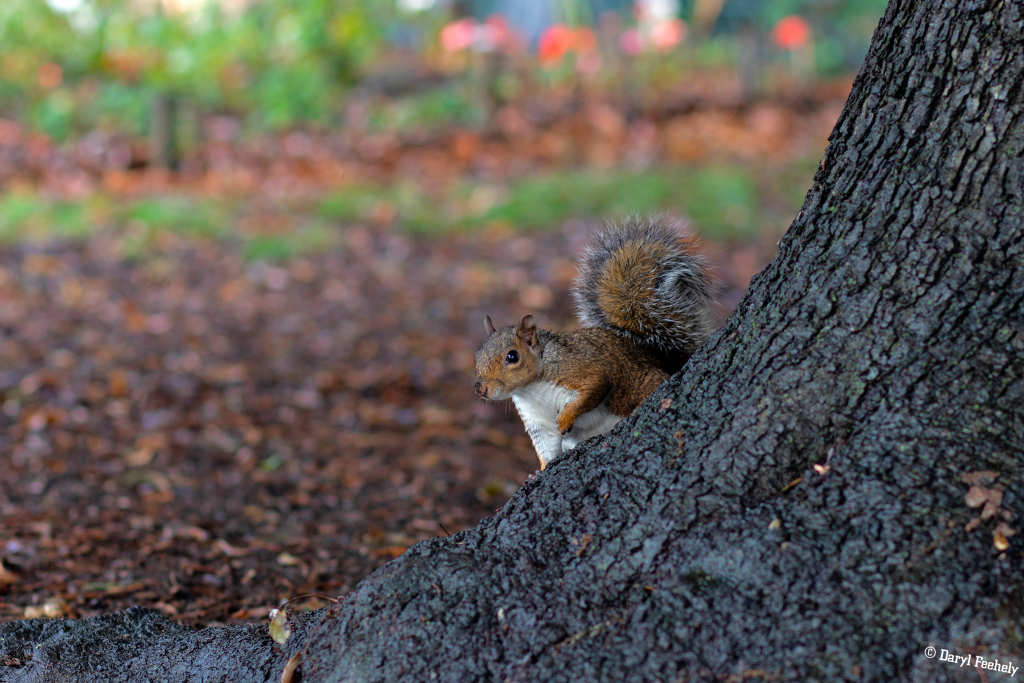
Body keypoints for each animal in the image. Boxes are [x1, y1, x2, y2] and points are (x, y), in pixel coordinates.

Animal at [474, 215, 715, 469]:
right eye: (476, 355)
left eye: (512, 356)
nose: (480, 388)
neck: (531, 390)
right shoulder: (537, 421)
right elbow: (546, 446)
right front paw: (541, 470)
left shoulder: (582, 369)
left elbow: (592, 389)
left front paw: (566, 418)